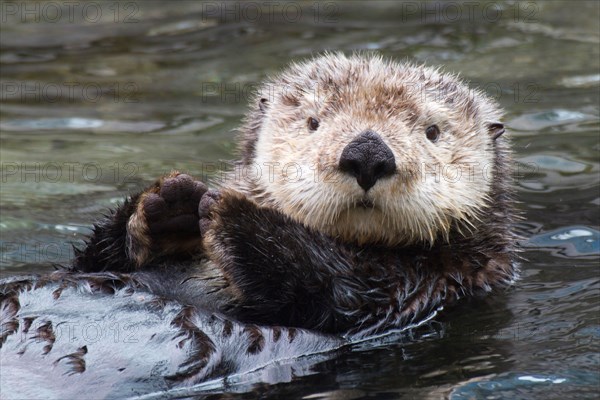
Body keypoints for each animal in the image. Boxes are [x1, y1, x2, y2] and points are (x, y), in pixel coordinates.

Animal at [0, 53, 516, 394]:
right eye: (313, 122)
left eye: (432, 131)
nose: (368, 153)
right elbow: (90, 261)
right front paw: (168, 203)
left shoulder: (426, 284)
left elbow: (331, 288)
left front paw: (232, 214)